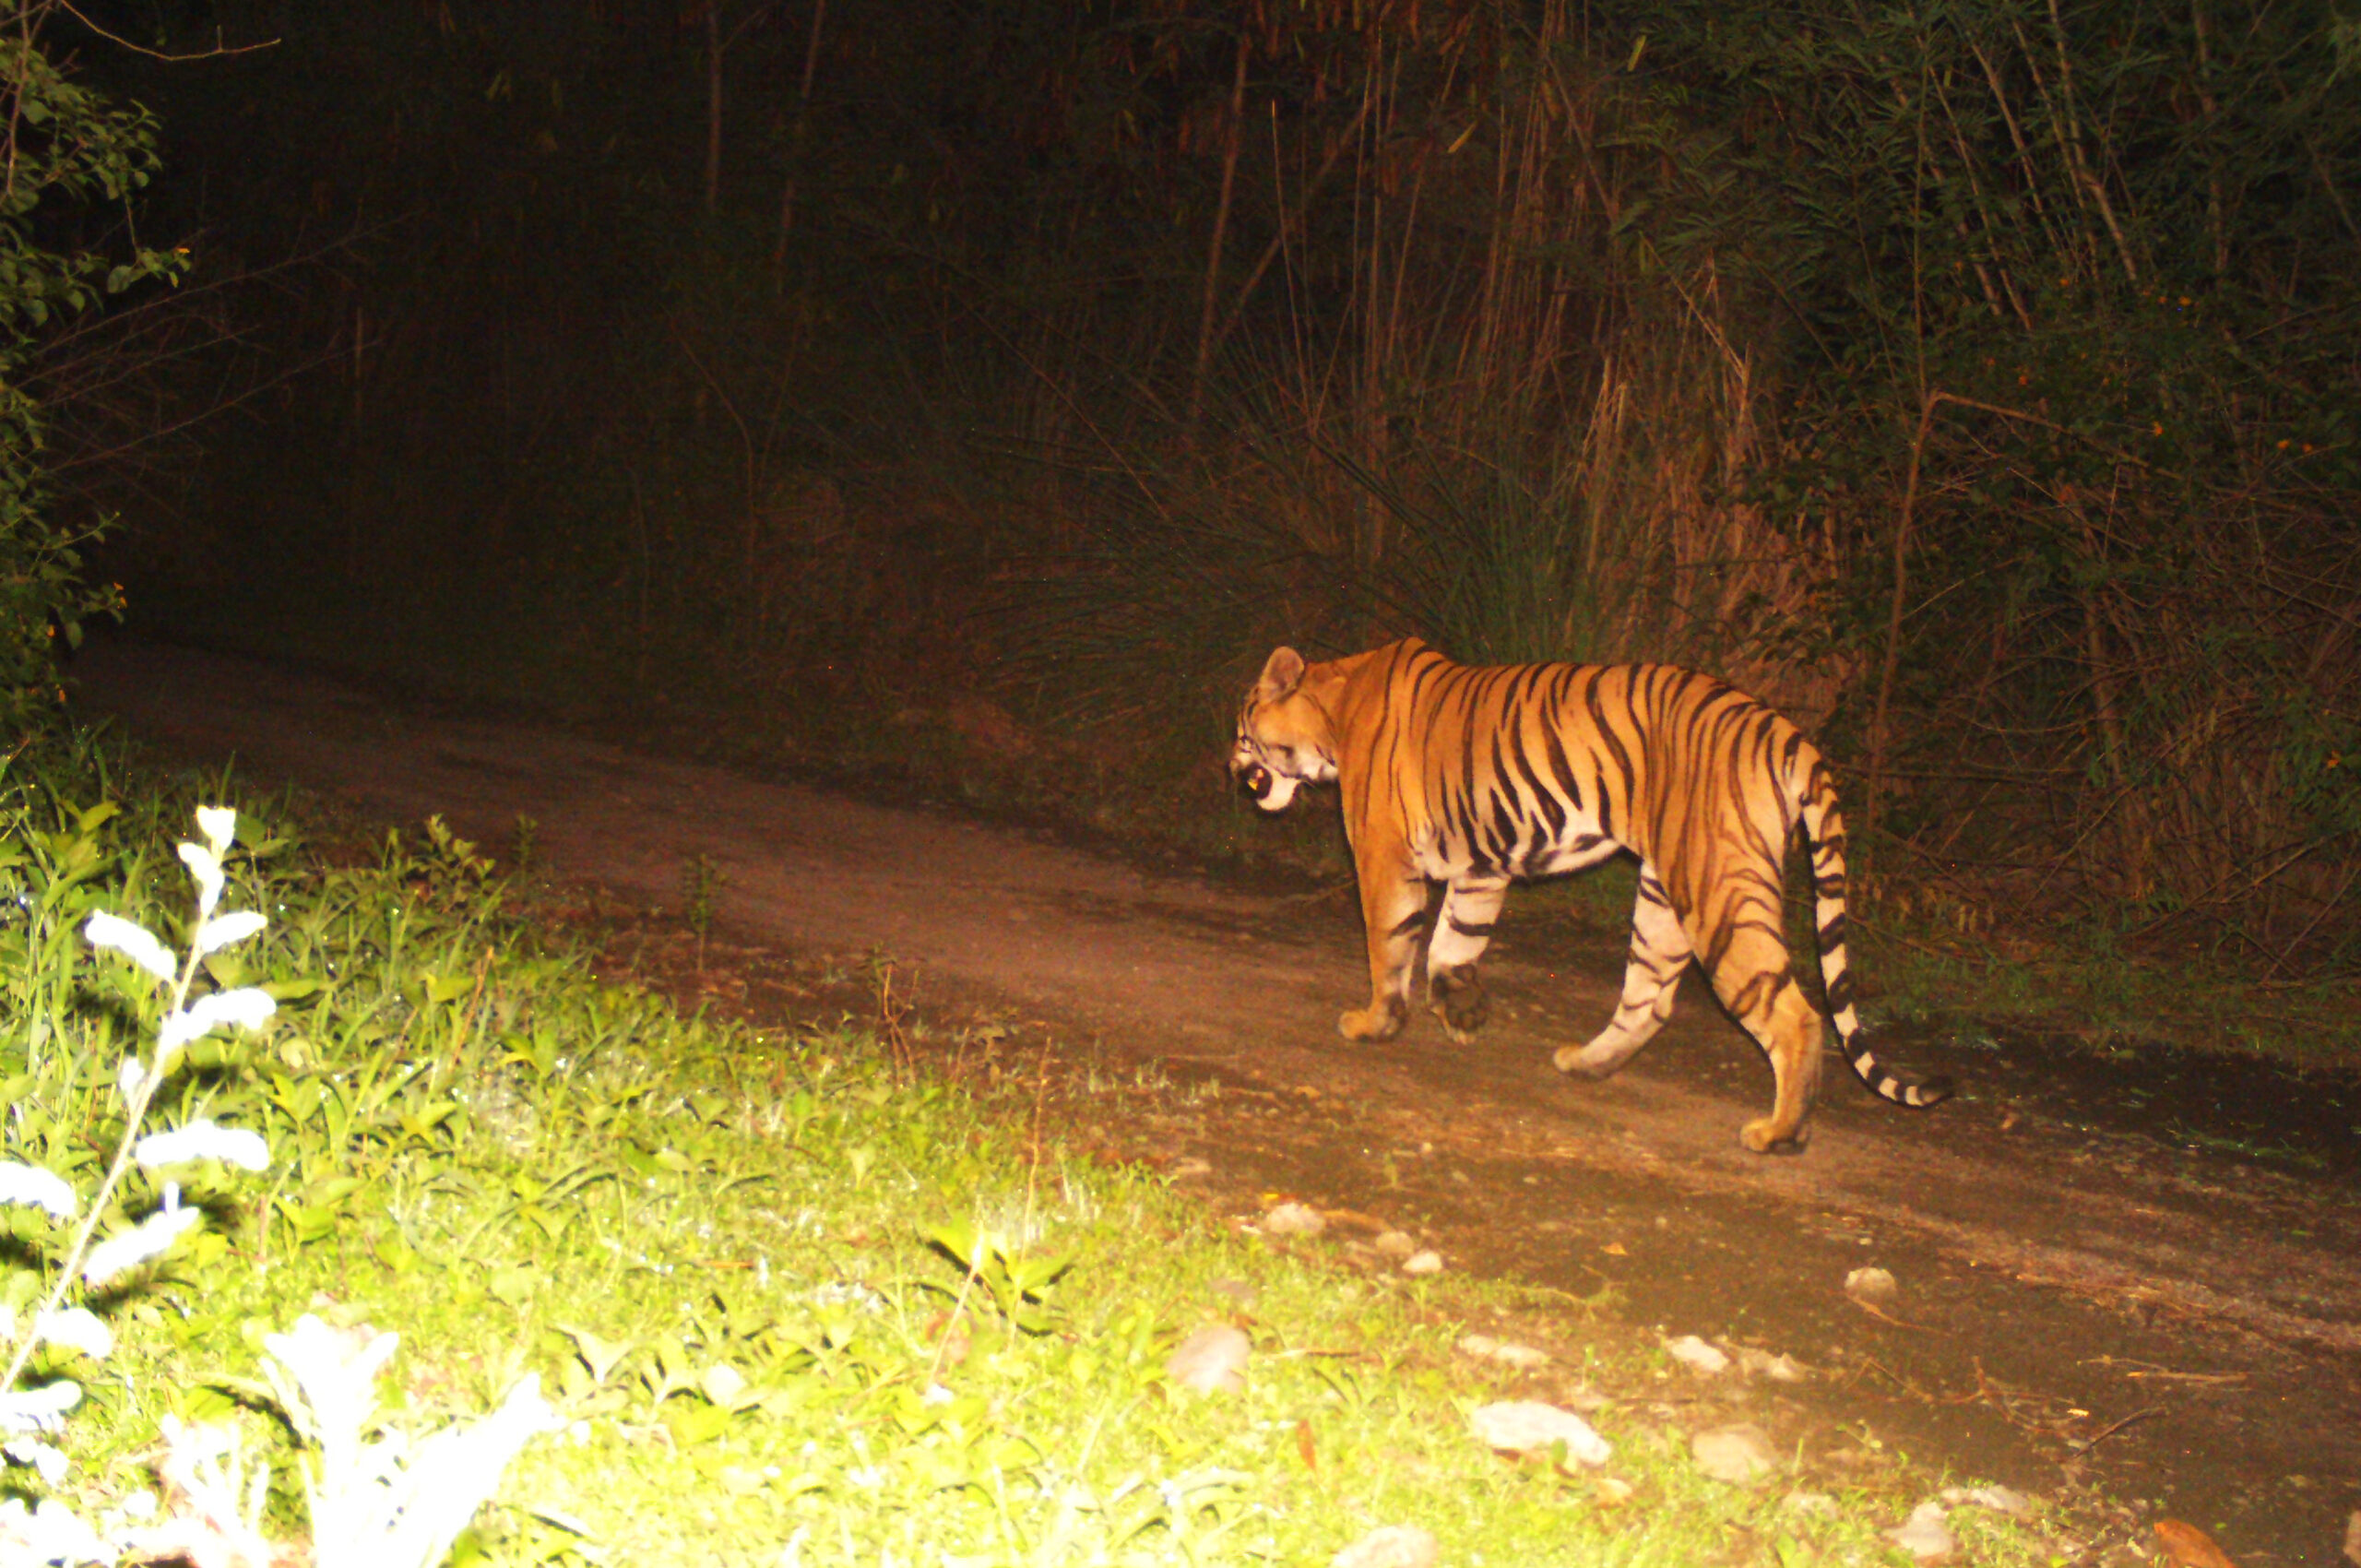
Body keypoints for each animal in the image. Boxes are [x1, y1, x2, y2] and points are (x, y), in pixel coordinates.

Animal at [1228, 637, 1945, 1152]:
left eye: (1241, 729)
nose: (1232, 769)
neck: (1332, 705)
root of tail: (1783, 730)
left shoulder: (1383, 855)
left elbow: (1392, 945)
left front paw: (1375, 1023)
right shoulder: (1483, 864)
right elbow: (1455, 941)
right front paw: (1463, 1012)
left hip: (1718, 891)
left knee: (1796, 1015)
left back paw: (1780, 1134)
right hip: (1662, 897)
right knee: (1649, 999)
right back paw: (1586, 1065)